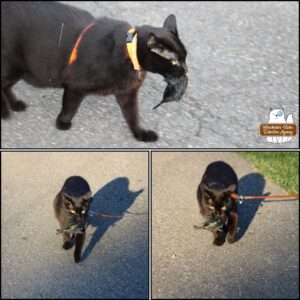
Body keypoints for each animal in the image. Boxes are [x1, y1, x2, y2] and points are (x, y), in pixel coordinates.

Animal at [1, 1, 186, 142]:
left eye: (185, 58)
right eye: (175, 61)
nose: (185, 70)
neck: (129, 53)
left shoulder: (127, 93)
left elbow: (133, 116)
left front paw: (140, 134)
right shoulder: (75, 86)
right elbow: (70, 107)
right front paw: (62, 123)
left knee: (5, 86)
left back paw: (15, 105)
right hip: (14, 67)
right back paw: (5, 112)